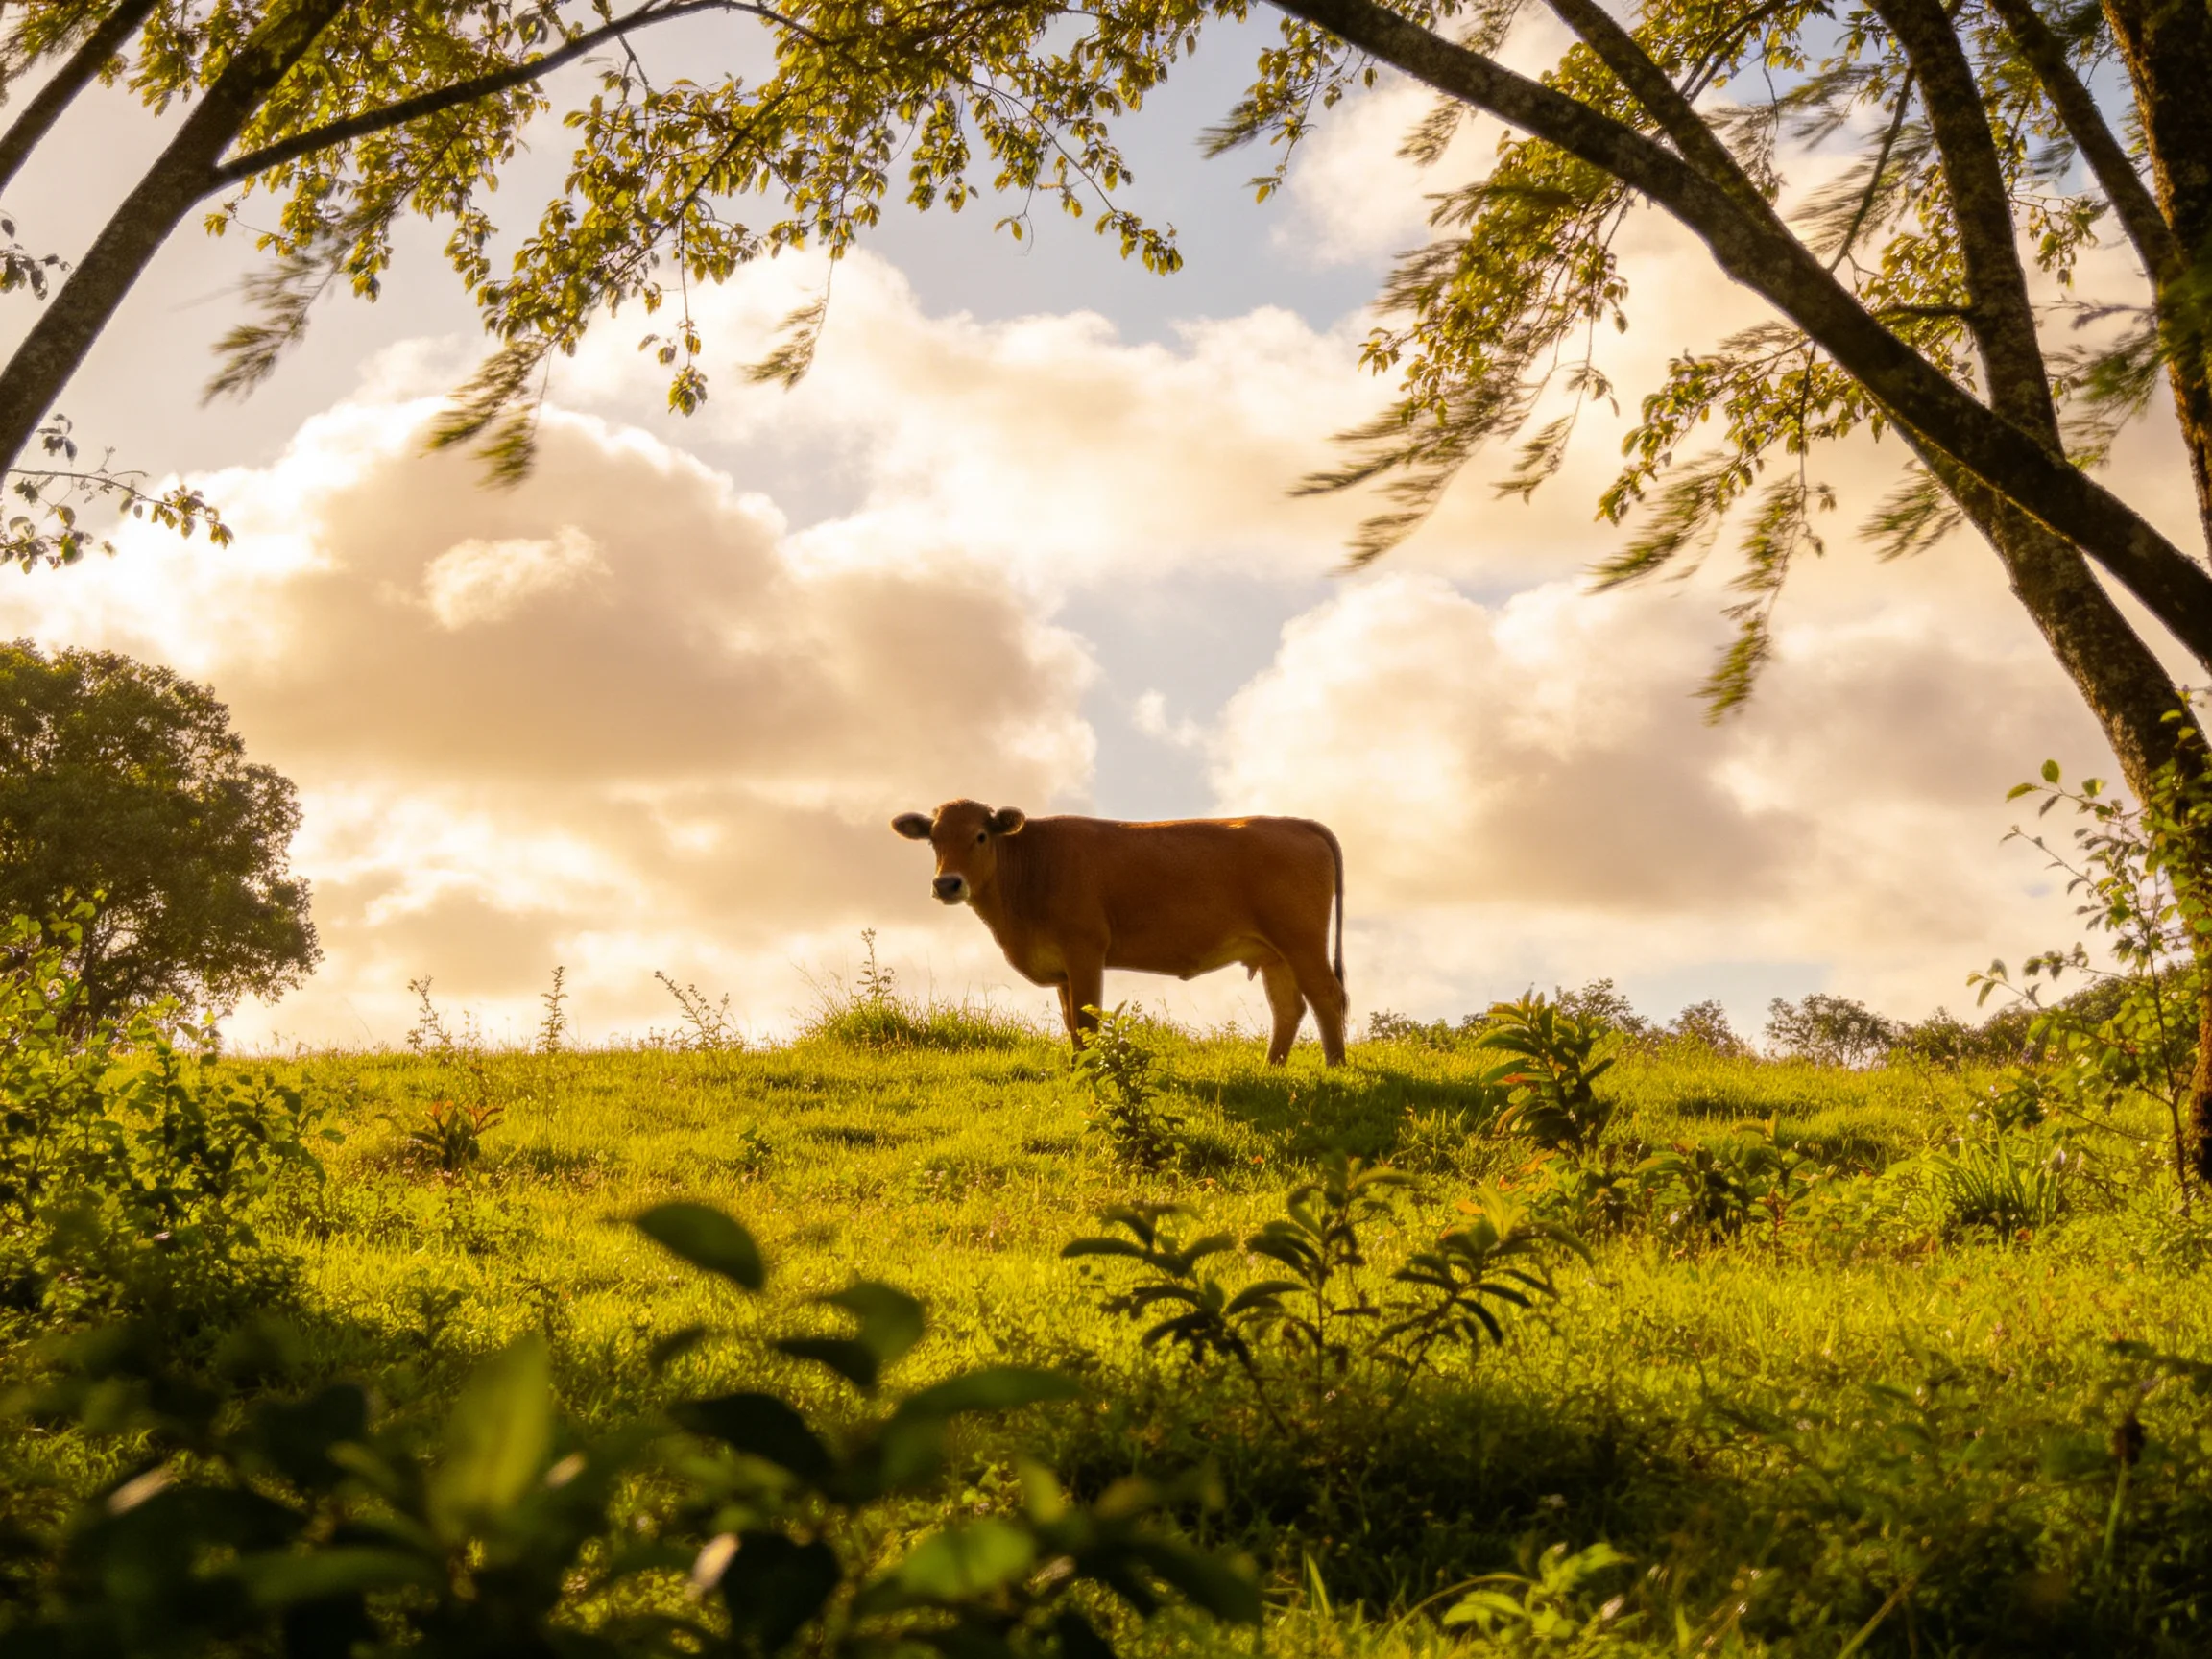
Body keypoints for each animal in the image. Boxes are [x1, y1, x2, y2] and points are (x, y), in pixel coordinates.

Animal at [891, 799, 1347, 1065]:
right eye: (933, 839)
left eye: (981, 835)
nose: (947, 884)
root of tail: (1295, 823)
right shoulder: (1063, 968)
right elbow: (1071, 1022)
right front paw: (1076, 1067)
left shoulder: (1085, 950)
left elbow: (1087, 1020)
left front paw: (1091, 1071)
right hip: (1274, 952)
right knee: (1288, 1008)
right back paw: (1272, 1068)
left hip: (1302, 941)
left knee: (1326, 996)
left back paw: (1335, 1067)